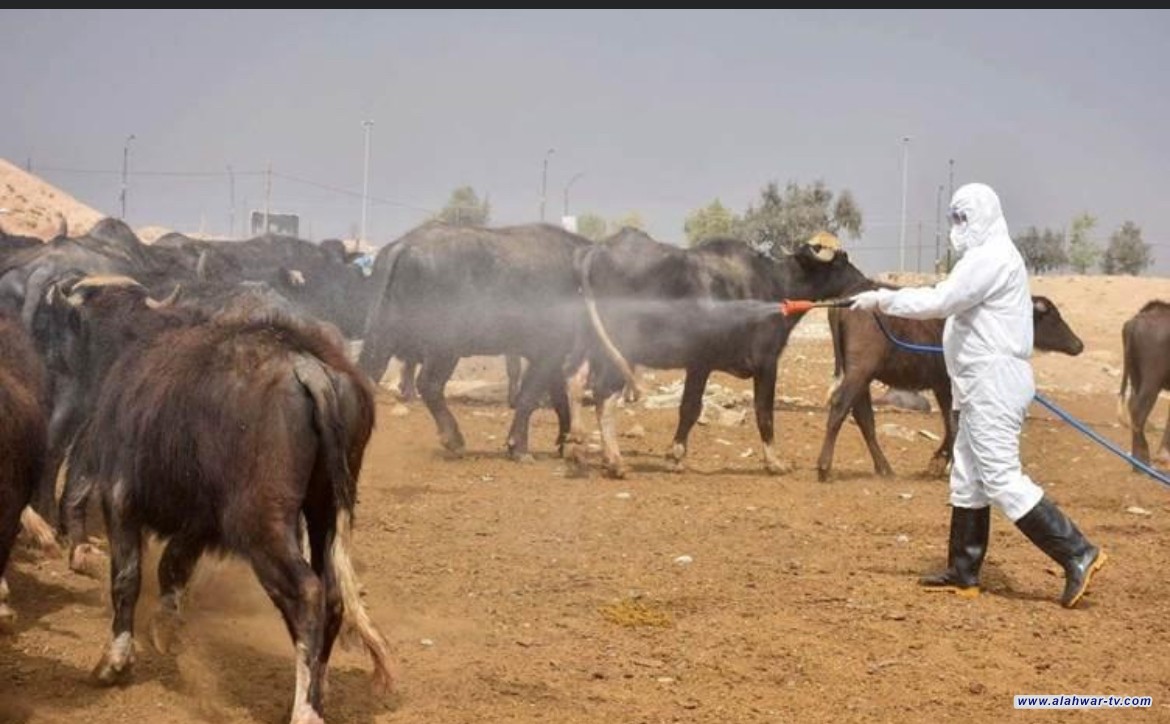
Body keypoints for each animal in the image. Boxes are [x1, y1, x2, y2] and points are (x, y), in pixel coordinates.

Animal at [40, 277, 393, 720]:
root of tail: (307, 366)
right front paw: (165, 628)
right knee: (331, 597)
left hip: (261, 526)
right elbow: (173, 566)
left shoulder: (120, 499)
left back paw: (305, 709)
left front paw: (114, 661)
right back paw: (317, 689)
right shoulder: (200, 522)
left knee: (308, 594)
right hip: (324, 511)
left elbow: (127, 577)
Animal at [358, 221, 594, 458]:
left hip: (381, 337)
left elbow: (559, 398)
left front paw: (564, 442)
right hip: (444, 347)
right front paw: (519, 447)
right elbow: (529, 397)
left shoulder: (554, 356)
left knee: (368, 375)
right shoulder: (548, 352)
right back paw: (454, 439)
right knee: (429, 385)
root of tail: (405, 244)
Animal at [575, 232, 870, 479]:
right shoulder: (763, 363)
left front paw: (675, 456)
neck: (774, 284)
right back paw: (615, 462)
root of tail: (599, 250)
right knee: (605, 395)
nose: (866, 283)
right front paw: (774, 462)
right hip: (619, 351)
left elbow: (689, 409)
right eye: (842, 261)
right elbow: (761, 411)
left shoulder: (699, 365)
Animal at [814, 288, 1085, 481]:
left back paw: (885, 469)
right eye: (1053, 316)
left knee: (864, 418)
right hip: (859, 371)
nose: (1078, 344)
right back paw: (824, 467)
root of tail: (844, 304)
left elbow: (950, 423)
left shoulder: (942, 386)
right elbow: (955, 423)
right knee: (841, 406)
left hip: (862, 377)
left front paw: (938, 462)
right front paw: (946, 464)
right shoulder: (952, 385)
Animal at [1113, 299, 1170, 465]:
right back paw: (1142, 462)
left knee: (1132, 405)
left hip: (1135, 373)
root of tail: (1133, 322)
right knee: (1138, 410)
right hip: (1152, 378)